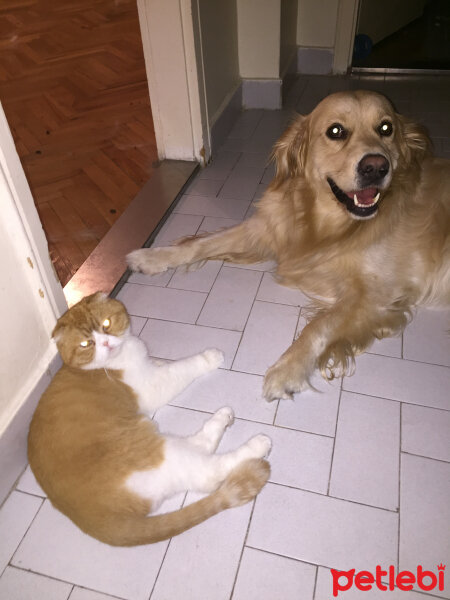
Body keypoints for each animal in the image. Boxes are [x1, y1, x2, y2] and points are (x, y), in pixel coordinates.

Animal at [30, 292, 274, 548]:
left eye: (106, 324)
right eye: (86, 344)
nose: (106, 343)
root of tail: (96, 522)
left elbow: (162, 364)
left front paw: (159, 362)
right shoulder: (152, 386)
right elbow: (181, 368)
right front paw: (208, 358)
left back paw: (224, 418)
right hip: (157, 451)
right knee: (208, 472)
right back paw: (255, 442)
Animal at [126, 92, 450, 404]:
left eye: (386, 128)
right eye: (336, 131)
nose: (376, 167)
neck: (326, 224)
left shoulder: (377, 295)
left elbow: (320, 326)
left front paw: (287, 370)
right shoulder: (266, 230)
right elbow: (200, 244)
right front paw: (151, 256)